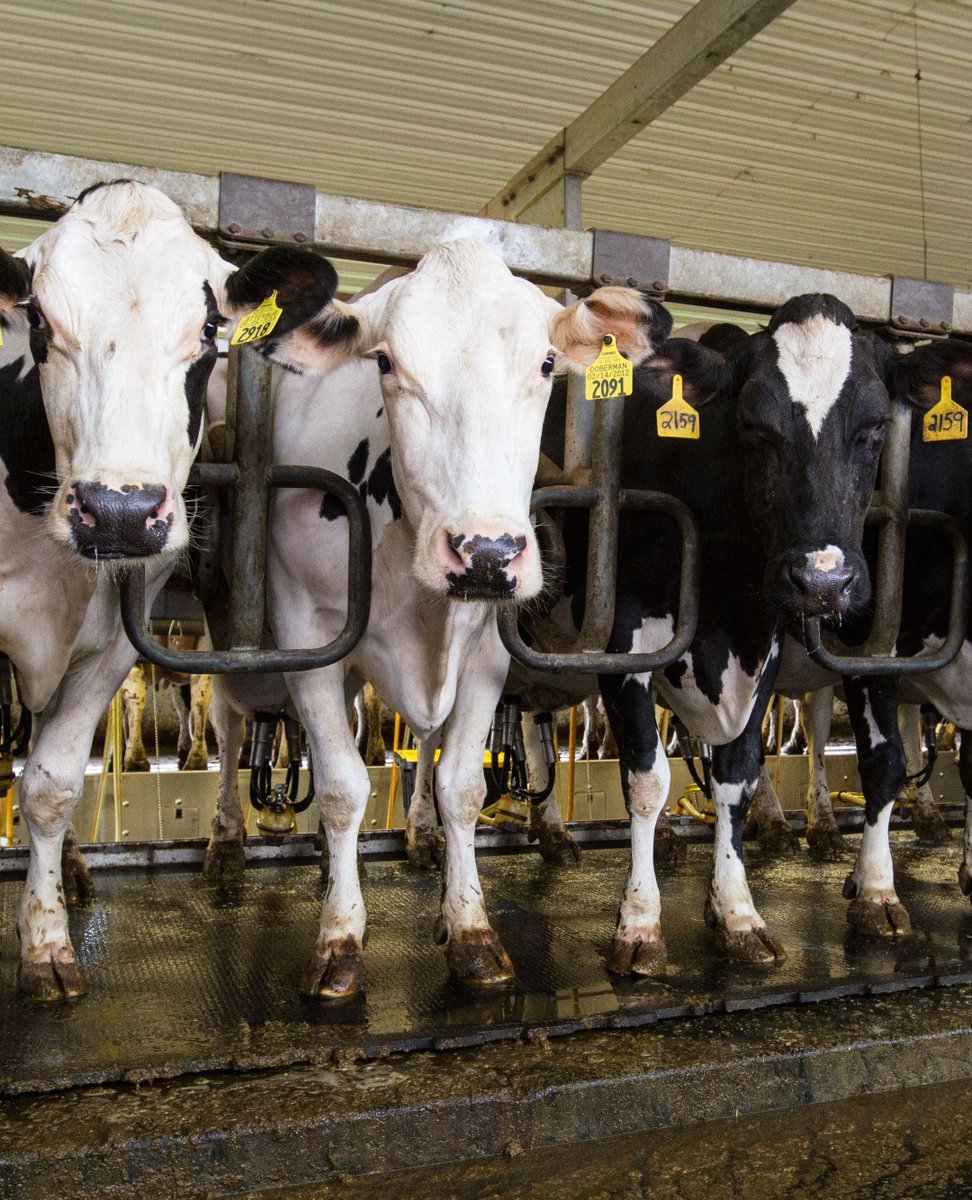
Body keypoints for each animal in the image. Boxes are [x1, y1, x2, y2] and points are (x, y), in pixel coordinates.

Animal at [0, 180, 286, 999]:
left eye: (211, 329)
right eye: (39, 318)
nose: (122, 510)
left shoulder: (110, 651)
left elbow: (52, 783)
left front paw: (45, 946)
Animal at [201, 238, 664, 998]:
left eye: (546, 364)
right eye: (385, 363)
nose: (487, 551)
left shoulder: (489, 653)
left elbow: (462, 787)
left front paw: (470, 929)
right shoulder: (307, 633)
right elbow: (341, 788)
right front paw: (339, 940)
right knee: (230, 725)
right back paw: (227, 842)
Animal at [431, 297, 896, 974]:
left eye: (875, 428)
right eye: (754, 427)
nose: (822, 579)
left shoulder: (763, 651)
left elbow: (737, 774)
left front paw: (738, 913)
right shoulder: (624, 644)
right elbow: (648, 780)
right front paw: (640, 925)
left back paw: (553, 837)